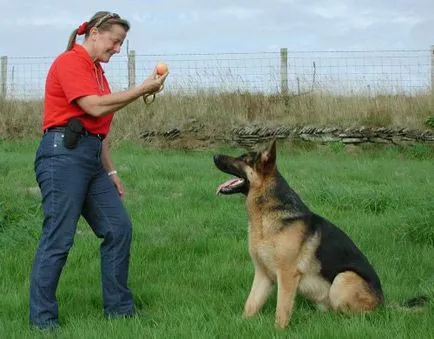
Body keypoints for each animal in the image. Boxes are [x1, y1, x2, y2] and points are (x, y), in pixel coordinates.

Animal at [212, 140, 384, 330]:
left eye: (244, 158)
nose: (214, 156)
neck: (265, 217)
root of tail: (384, 305)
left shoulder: (287, 275)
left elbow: (282, 309)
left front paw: (278, 331)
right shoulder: (263, 274)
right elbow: (250, 304)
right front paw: (240, 325)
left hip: (343, 279)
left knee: (353, 316)